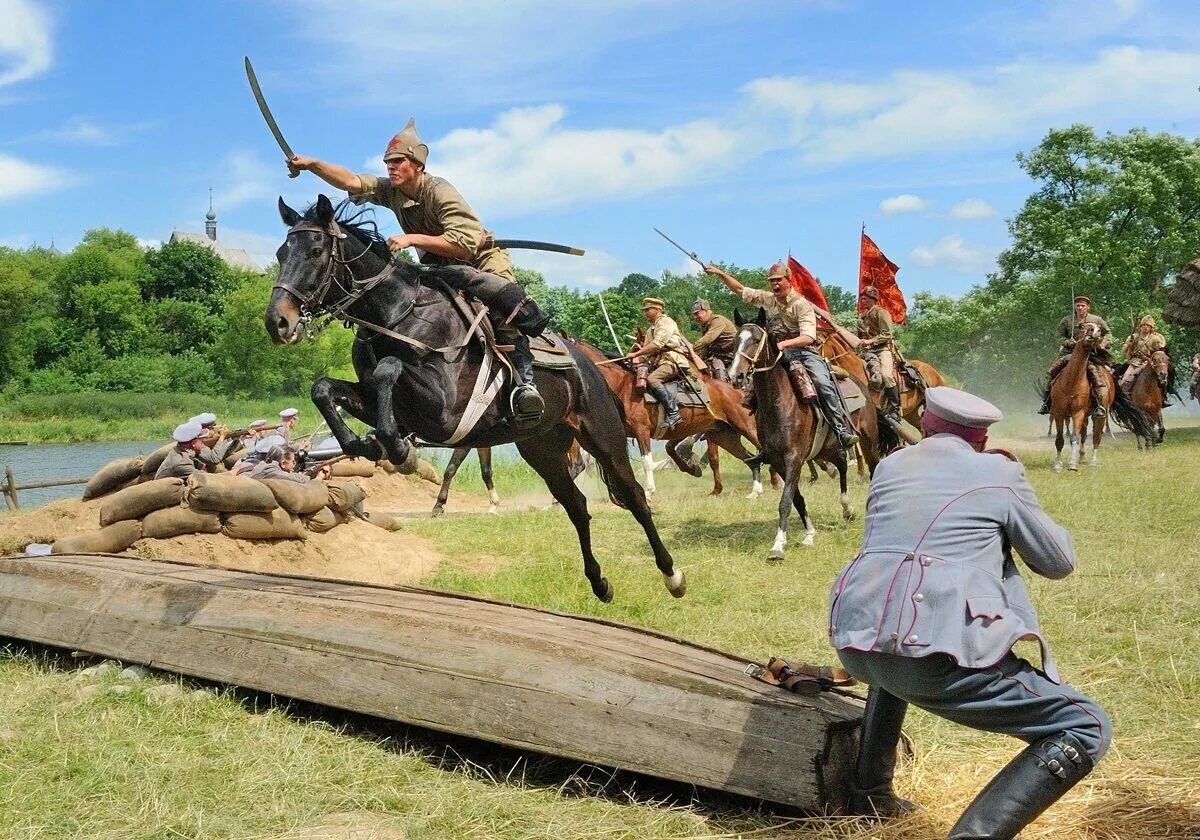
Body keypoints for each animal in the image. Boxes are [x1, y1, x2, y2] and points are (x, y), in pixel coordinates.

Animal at [268, 195, 691, 604]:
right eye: (280, 253)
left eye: (316, 251)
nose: (278, 322)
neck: (399, 314)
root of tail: (593, 367)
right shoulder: (385, 402)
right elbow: (324, 387)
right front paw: (366, 443)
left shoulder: (443, 410)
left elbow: (389, 368)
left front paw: (394, 447)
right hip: (542, 449)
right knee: (576, 505)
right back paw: (599, 582)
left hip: (604, 438)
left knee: (635, 497)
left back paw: (672, 575)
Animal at [568, 338, 758, 499]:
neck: (622, 388)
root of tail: (738, 391)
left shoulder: (642, 431)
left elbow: (647, 461)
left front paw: (649, 491)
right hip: (724, 436)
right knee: (751, 459)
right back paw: (755, 491)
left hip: (747, 428)